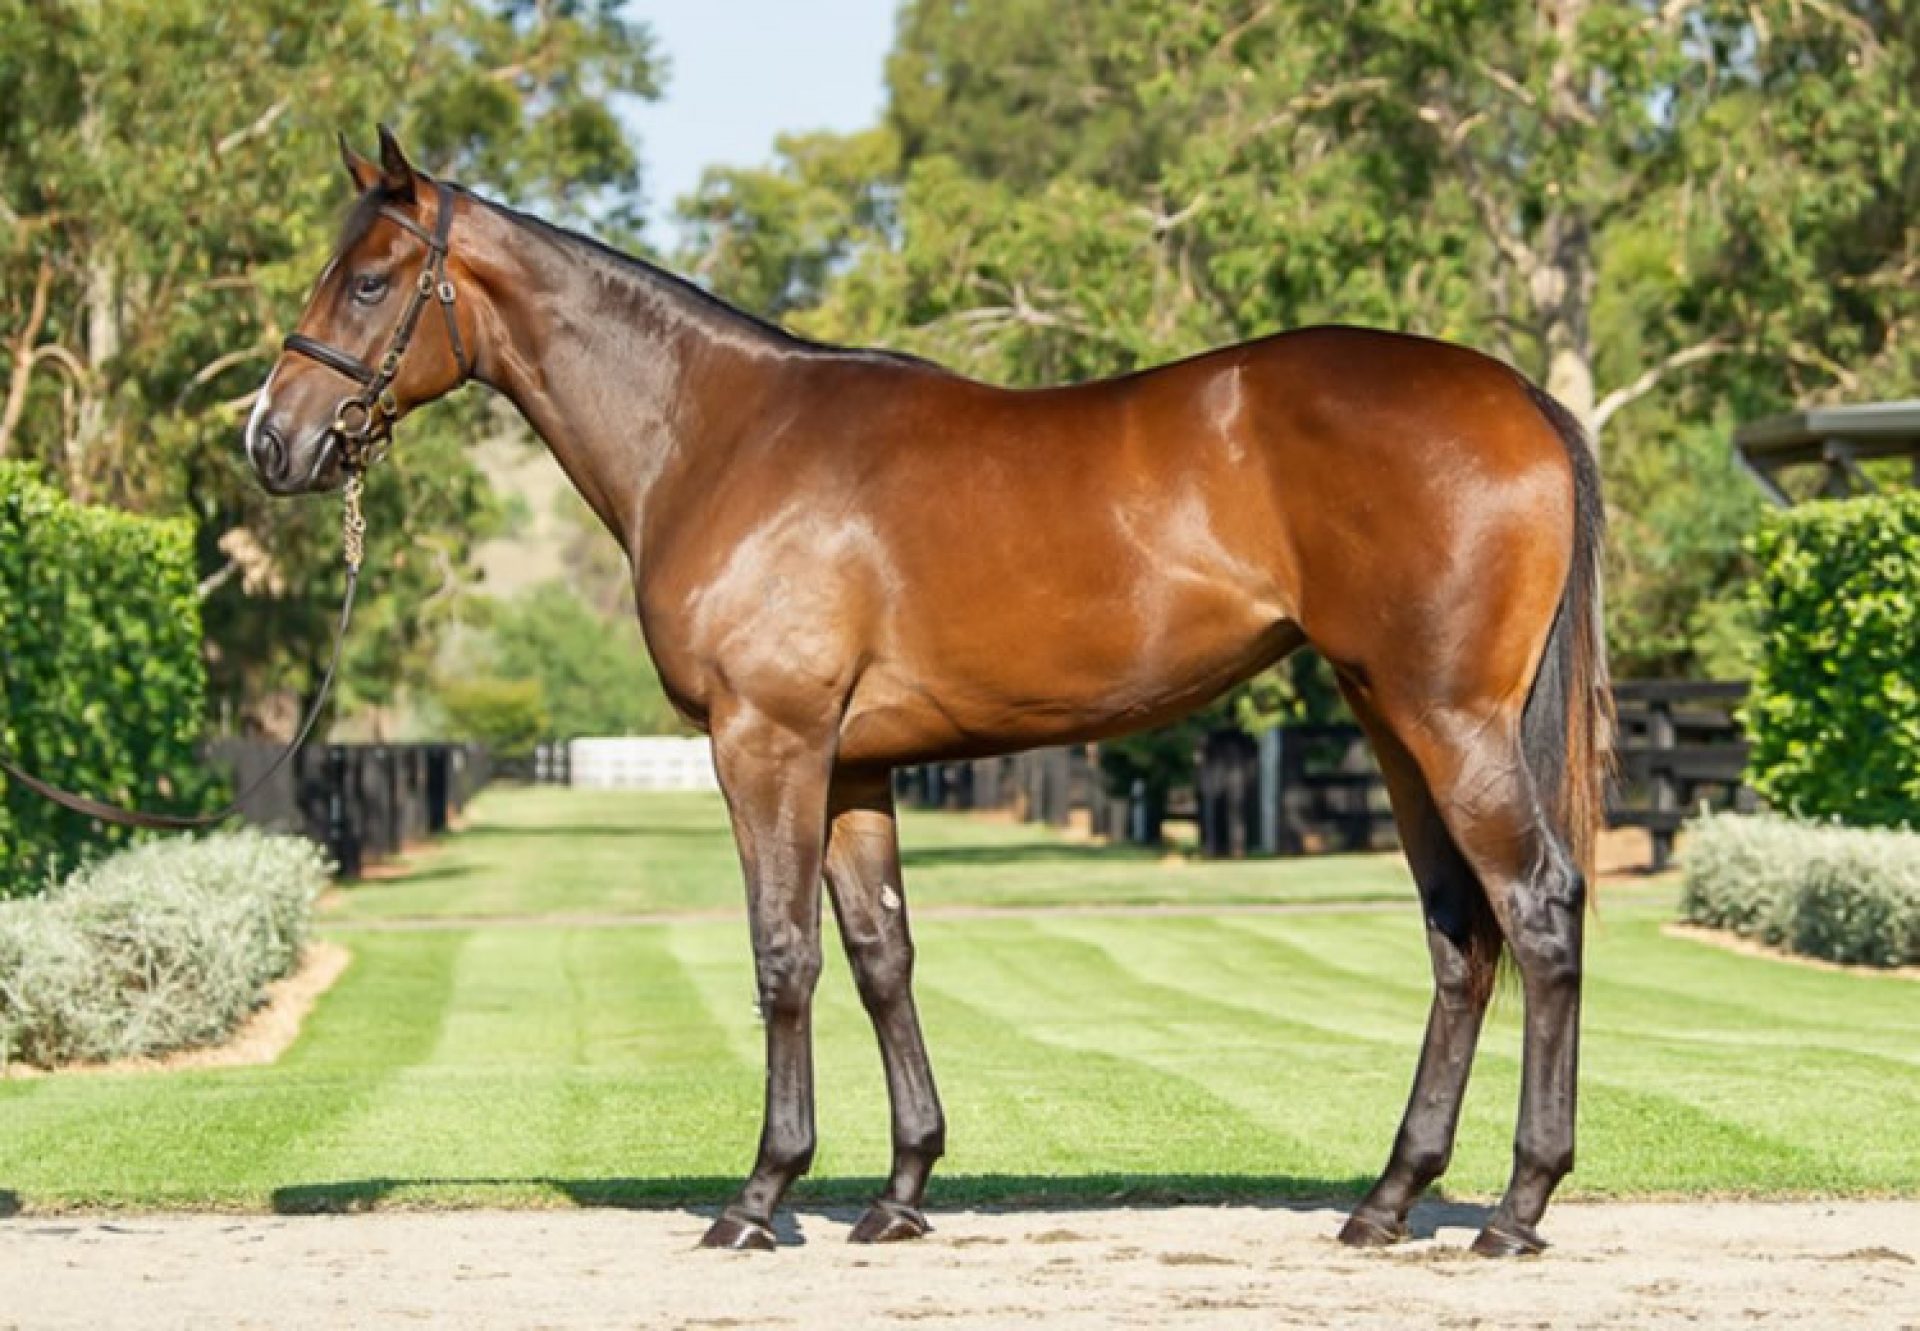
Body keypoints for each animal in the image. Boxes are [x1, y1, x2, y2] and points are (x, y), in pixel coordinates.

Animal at [247, 129, 1612, 1259]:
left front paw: (761, 1196)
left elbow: (783, 954)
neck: (715, 434)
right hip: (1393, 720)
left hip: (1450, 722)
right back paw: (1389, 1199)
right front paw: (902, 1190)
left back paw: (1516, 1205)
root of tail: (1520, 399)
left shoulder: (768, 742)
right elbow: (880, 953)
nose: (270, 438)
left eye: (367, 281)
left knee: (1538, 908)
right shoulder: (854, 763)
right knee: (1460, 933)